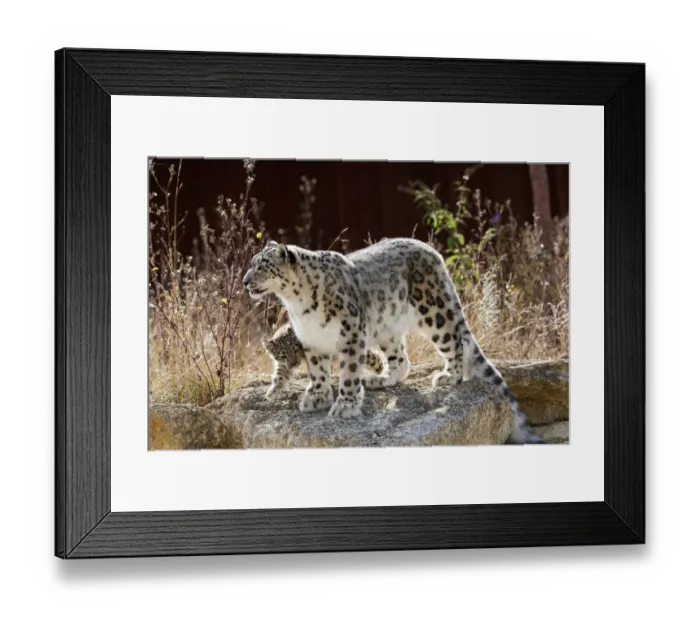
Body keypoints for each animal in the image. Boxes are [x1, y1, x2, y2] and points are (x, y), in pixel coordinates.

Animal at [243, 237, 543, 444]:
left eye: (262, 266)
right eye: (252, 265)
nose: (245, 281)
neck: (298, 305)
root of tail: (432, 251)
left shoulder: (351, 333)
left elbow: (349, 371)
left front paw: (345, 405)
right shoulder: (312, 340)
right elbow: (317, 372)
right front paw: (317, 397)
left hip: (434, 312)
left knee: (456, 341)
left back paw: (450, 376)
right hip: (388, 327)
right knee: (402, 358)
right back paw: (382, 378)